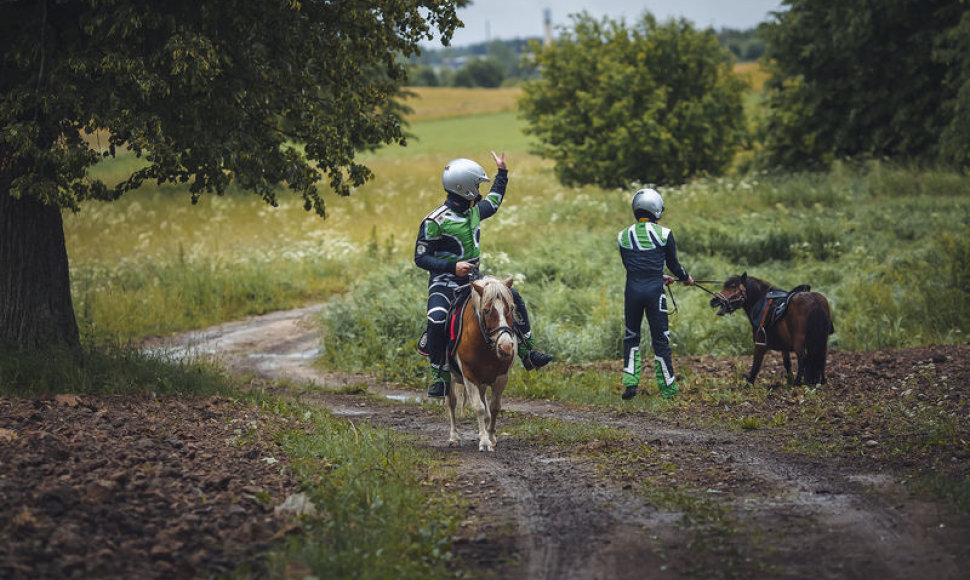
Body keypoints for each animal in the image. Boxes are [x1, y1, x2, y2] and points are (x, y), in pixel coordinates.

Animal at [448, 276, 520, 454]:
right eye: (487, 310)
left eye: (511, 308)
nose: (506, 347)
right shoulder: (469, 376)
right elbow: (478, 407)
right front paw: (485, 442)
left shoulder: (502, 376)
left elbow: (494, 407)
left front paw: (491, 437)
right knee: (451, 403)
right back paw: (454, 437)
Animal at [708, 274, 836, 388]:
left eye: (733, 286)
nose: (714, 301)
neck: (760, 302)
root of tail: (815, 301)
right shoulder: (785, 346)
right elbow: (787, 363)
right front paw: (789, 381)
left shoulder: (760, 344)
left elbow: (756, 364)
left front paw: (748, 384)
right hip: (821, 341)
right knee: (821, 357)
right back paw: (821, 381)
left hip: (799, 342)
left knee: (802, 359)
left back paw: (797, 383)